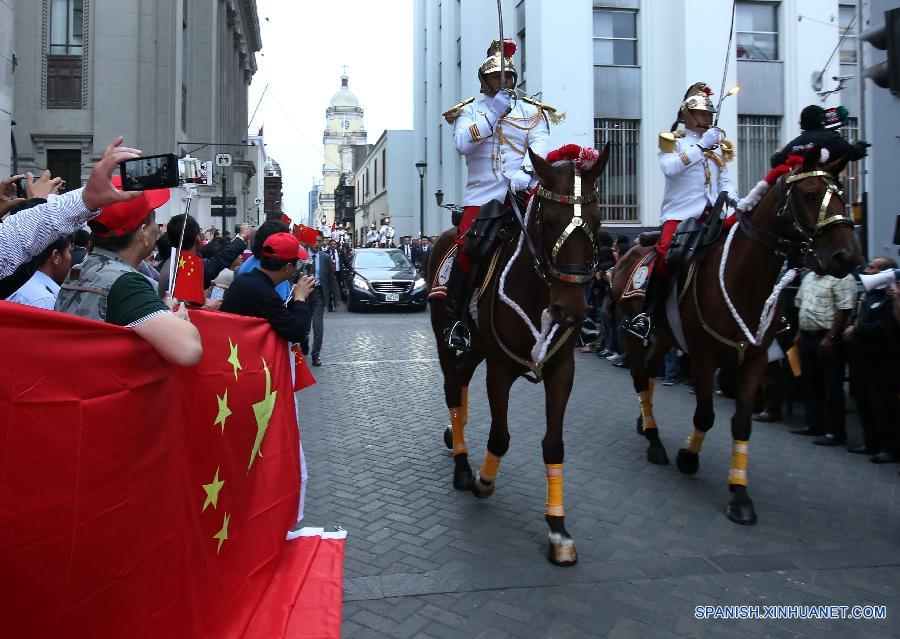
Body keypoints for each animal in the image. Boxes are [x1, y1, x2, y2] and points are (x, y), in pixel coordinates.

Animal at [428, 145, 612, 564]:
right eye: (551, 220)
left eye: (597, 219)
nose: (572, 310)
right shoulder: (499, 369)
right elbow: (500, 437)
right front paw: (483, 480)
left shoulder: (562, 369)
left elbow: (553, 444)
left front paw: (558, 530)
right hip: (447, 339)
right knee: (452, 388)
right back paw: (462, 465)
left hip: (475, 347)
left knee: (461, 384)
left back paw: (454, 435)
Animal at [612, 149, 864, 524]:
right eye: (809, 195)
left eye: (843, 195)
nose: (847, 256)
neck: (743, 279)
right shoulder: (703, 357)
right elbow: (705, 415)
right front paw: (688, 457)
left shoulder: (755, 358)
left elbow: (742, 424)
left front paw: (740, 495)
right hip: (632, 329)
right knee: (641, 379)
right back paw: (654, 441)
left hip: (666, 337)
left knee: (653, 371)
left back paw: (646, 423)